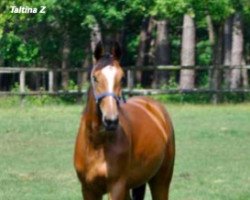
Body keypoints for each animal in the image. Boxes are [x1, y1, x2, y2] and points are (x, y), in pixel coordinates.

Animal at [73, 41, 176, 199]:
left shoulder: (116, 187)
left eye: (122, 78)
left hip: (161, 181)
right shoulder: (88, 189)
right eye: (95, 77)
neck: (96, 144)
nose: (111, 120)